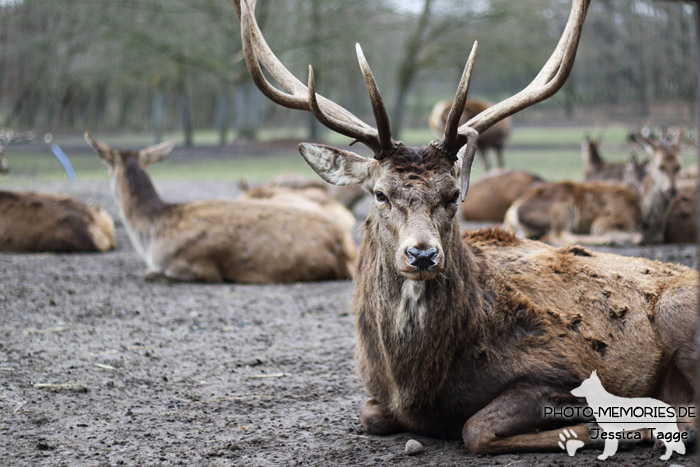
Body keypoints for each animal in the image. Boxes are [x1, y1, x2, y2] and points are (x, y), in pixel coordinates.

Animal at [235, 0, 696, 458]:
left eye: (454, 194)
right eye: (380, 194)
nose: (422, 254)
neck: (416, 385)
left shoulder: (566, 368)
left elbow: (475, 428)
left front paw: (593, 429)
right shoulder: (378, 396)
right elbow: (372, 415)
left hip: (679, 315)